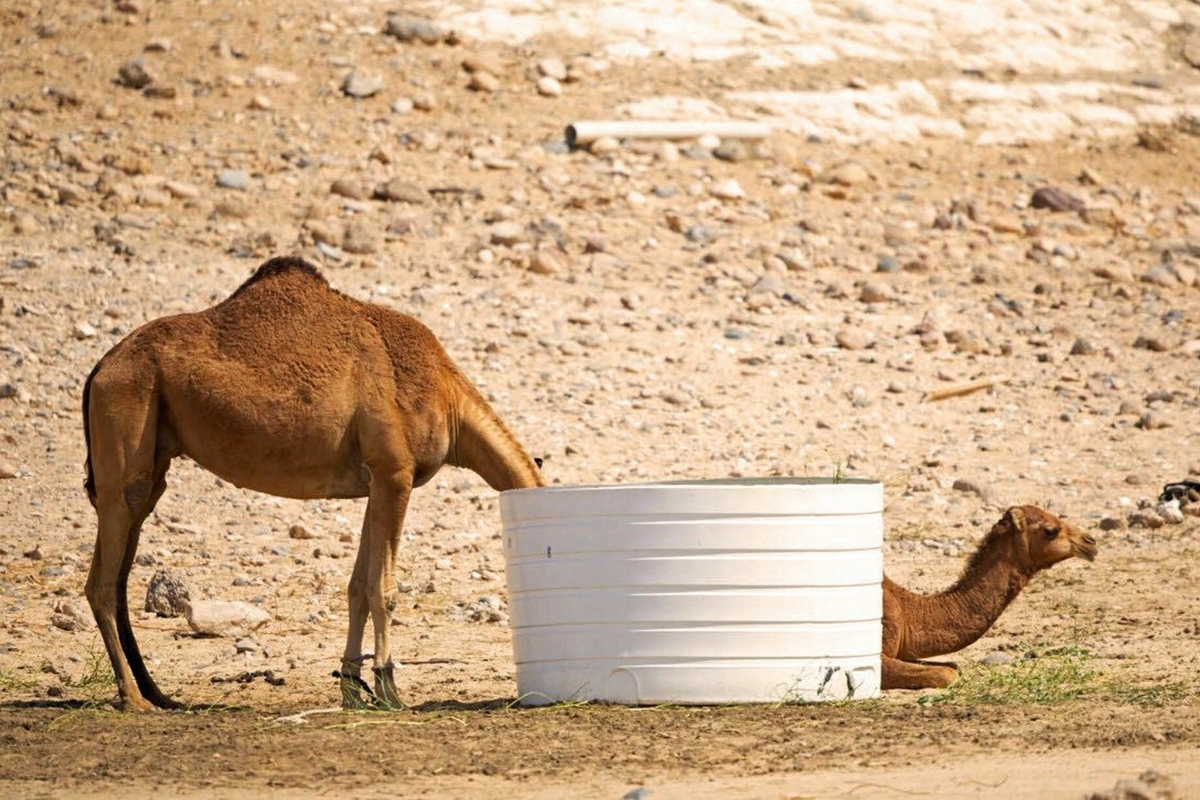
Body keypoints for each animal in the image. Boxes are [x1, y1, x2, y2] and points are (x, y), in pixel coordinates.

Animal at [77, 257, 542, 714]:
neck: (447, 399)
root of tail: (101, 367)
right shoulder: (395, 474)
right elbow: (383, 589)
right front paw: (390, 691)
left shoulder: (375, 483)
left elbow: (358, 588)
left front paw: (353, 690)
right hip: (126, 438)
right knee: (102, 580)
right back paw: (135, 698)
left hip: (154, 462)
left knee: (121, 573)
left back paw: (158, 693)